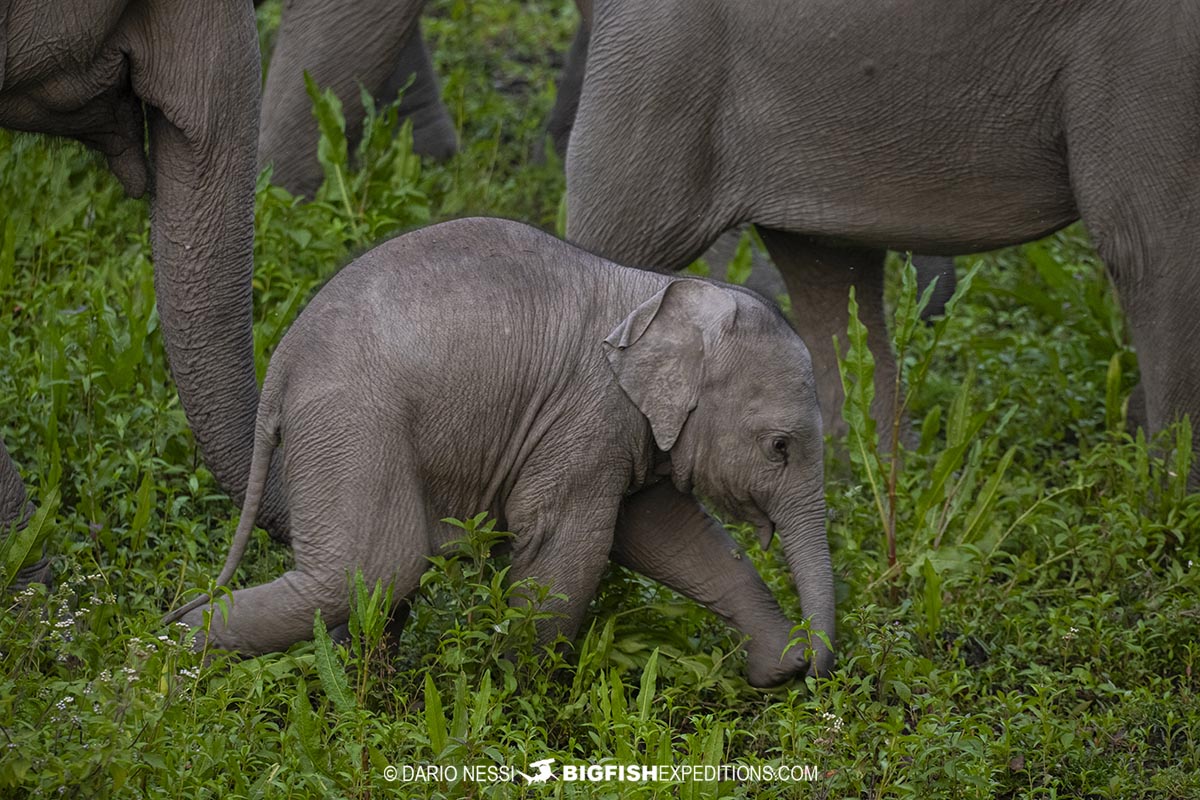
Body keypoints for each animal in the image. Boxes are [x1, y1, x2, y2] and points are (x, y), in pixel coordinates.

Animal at [164, 217, 830, 681]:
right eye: (778, 447)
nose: (818, 674)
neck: (661, 289)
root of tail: (282, 362)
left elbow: (664, 533)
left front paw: (777, 669)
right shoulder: (587, 415)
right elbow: (571, 544)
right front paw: (518, 689)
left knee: (371, 580)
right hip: (354, 423)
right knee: (370, 570)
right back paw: (163, 663)